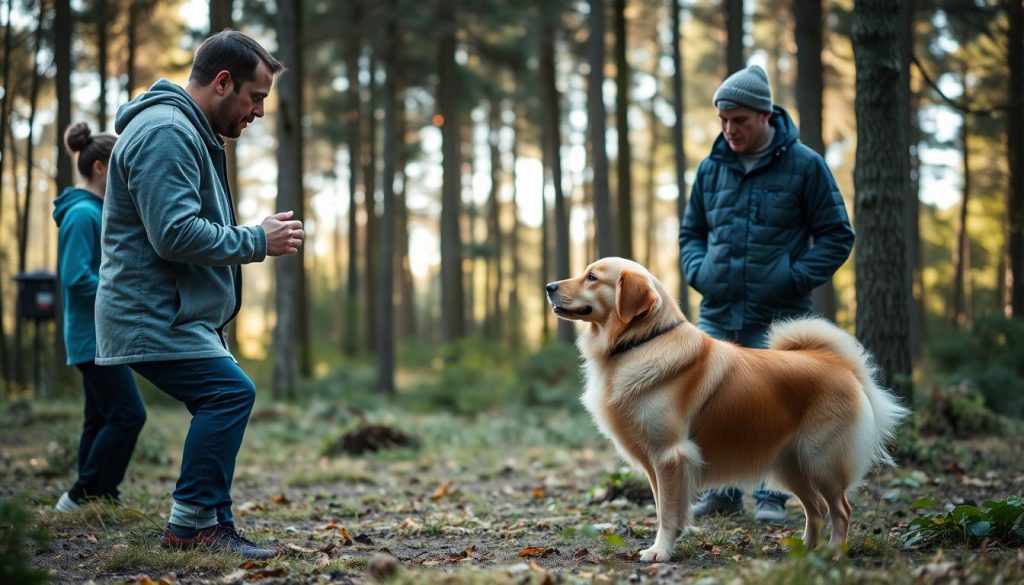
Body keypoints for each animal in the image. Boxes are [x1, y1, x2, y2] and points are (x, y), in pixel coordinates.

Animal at [548, 257, 909, 561]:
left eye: (592, 277)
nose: (549, 286)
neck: (642, 342)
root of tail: (836, 362)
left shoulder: (670, 456)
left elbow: (667, 512)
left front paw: (660, 551)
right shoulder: (656, 463)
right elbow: (665, 508)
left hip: (821, 460)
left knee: (841, 509)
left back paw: (833, 553)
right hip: (792, 465)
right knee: (817, 508)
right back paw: (804, 549)